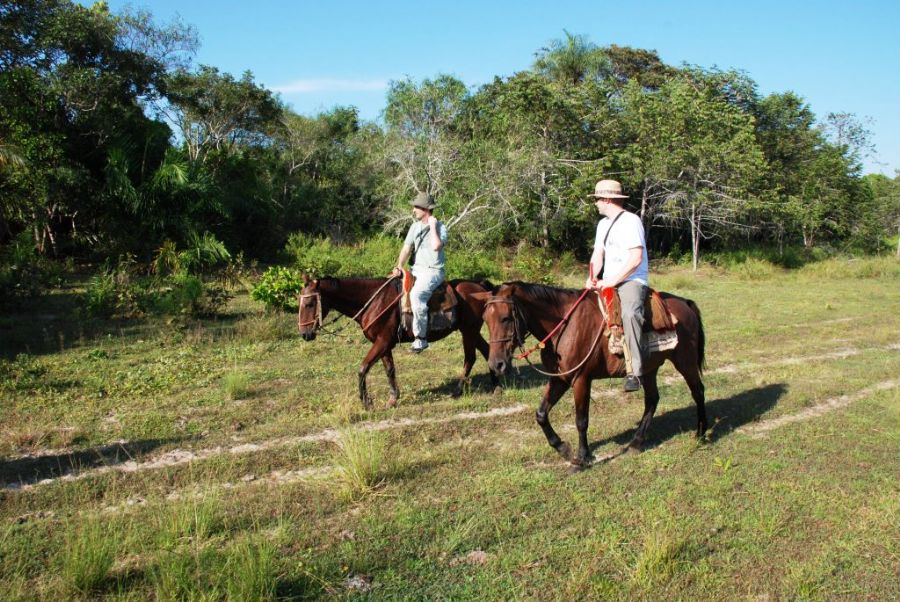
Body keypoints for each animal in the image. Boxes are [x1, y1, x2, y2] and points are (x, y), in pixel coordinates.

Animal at [300, 276, 500, 408]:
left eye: (309, 304)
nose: (304, 334)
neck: (375, 301)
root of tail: (480, 286)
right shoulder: (384, 344)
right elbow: (390, 370)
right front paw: (393, 399)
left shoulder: (382, 342)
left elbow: (363, 368)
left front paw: (366, 403)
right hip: (472, 331)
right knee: (486, 351)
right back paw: (496, 384)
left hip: (469, 330)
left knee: (470, 357)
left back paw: (459, 390)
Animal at [474, 282, 708, 464]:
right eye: (485, 318)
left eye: (505, 318)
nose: (496, 364)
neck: (564, 326)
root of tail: (685, 303)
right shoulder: (561, 379)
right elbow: (541, 414)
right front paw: (563, 448)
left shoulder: (581, 379)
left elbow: (581, 420)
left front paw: (582, 457)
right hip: (649, 369)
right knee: (652, 399)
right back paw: (636, 442)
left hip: (685, 361)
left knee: (698, 391)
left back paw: (701, 434)